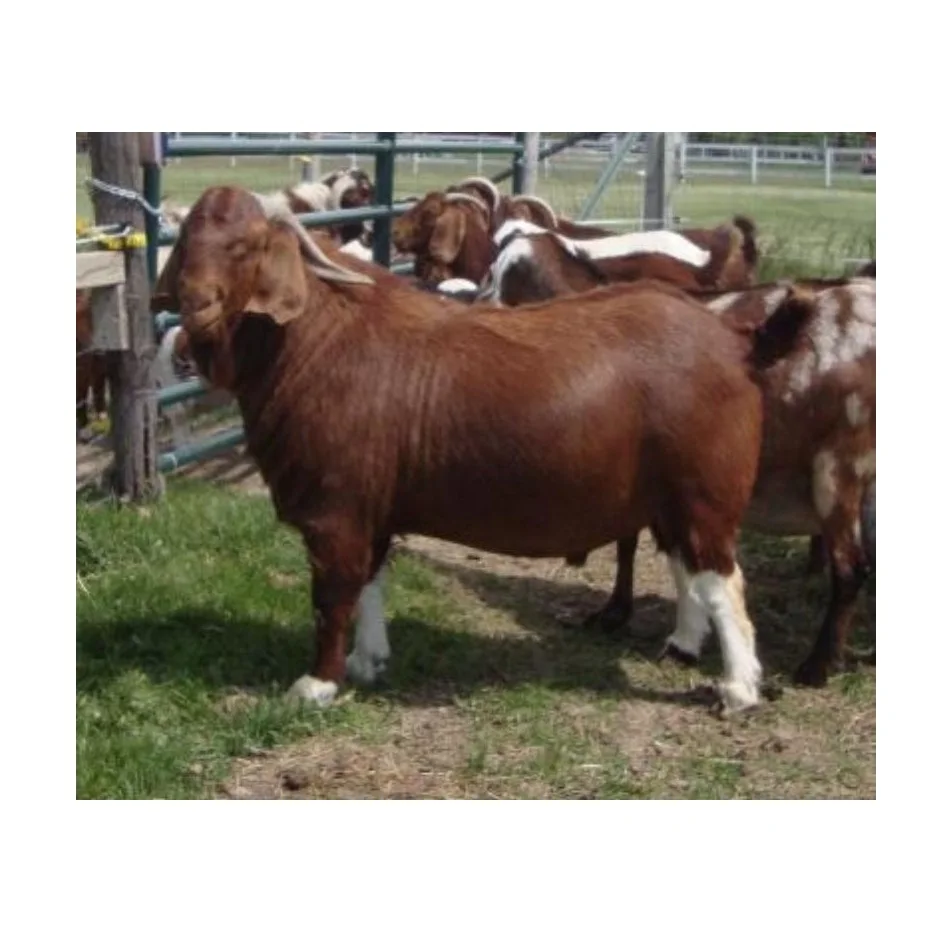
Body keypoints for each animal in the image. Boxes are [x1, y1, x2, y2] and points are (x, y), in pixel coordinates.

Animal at [152, 185, 815, 715]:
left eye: (246, 246)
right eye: (186, 241)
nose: (194, 304)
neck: (317, 339)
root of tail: (735, 340)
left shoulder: (335, 510)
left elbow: (334, 596)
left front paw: (317, 685)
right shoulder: (373, 507)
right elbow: (370, 583)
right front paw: (369, 662)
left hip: (706, 492)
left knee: (723, 581)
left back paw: (739, 689)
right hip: (673, 498)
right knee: (688, 570)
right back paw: (682, 644)